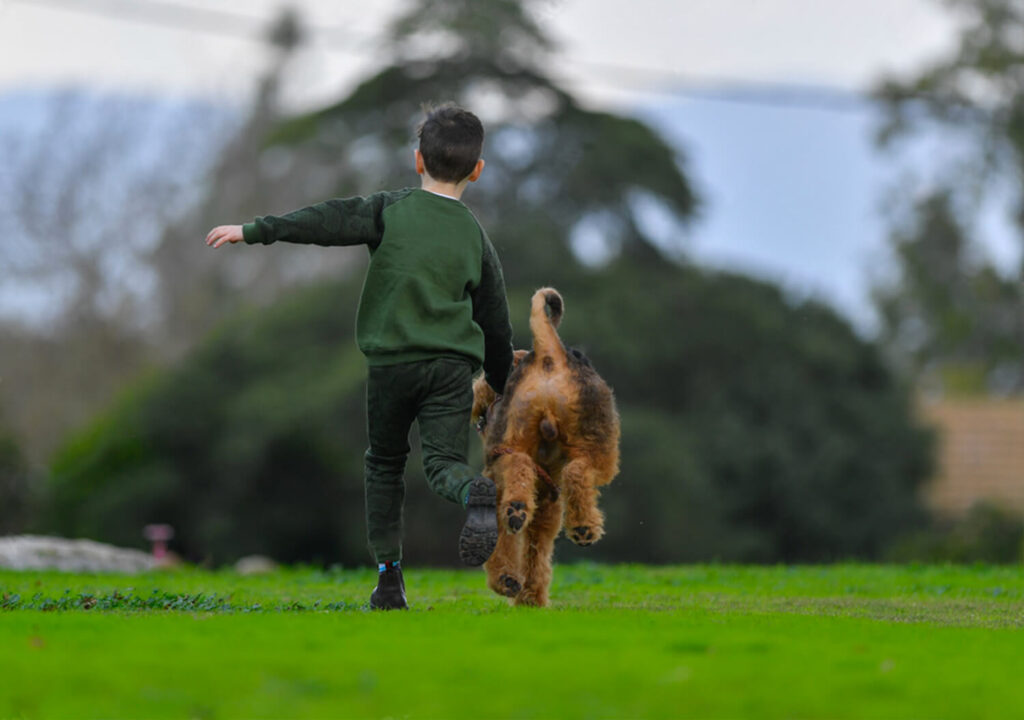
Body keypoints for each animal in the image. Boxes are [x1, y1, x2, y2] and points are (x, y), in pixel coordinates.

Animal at [468, 290, 618, 606]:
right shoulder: (548, 507)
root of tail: (549, 355)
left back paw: (519, 510)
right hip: (598, 451)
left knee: (523, 469)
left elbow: (519, 548)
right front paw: (528, 597)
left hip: (521, 444)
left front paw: (514, 586)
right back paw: (582, 525)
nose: (474, 397)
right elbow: (534, 550)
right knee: (575, 471)